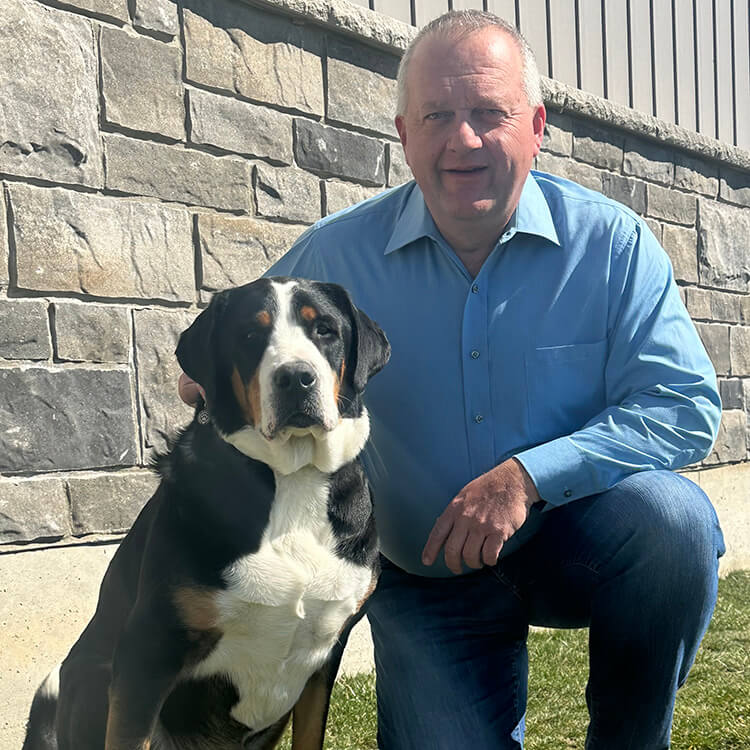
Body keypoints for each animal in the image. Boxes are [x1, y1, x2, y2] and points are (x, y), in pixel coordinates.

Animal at [22, 280, 394, 750]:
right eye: (251, 335)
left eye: (324, 329)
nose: (295, 377)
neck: (291, 479)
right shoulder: (148, 651)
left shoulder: (327, 652)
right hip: (94, 675)